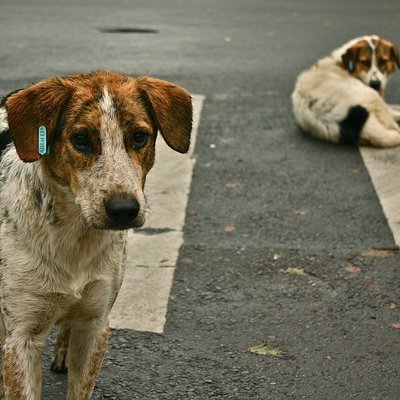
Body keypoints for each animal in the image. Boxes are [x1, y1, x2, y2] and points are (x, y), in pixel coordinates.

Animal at [0, 70, 192, 398]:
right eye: (81, 139)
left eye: (139, 136)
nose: (124, 209)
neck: (73, 236)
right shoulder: (21, 335)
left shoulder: (95, 325)